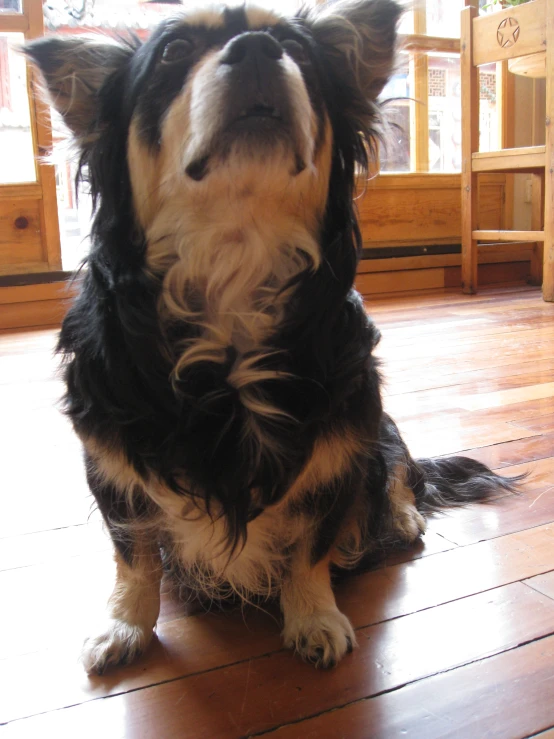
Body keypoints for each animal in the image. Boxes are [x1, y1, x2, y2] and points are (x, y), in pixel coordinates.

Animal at [25, 0, 516, 672]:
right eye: (174, 51)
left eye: (298, 51)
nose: (257, 48)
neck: (233, 264)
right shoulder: (111, 459)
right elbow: (133, 553)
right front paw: (123, 625)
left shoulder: (340, 443)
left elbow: (311, 547)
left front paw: (313, 617)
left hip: (375, 419)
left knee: (397, 469)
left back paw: (402, 515)